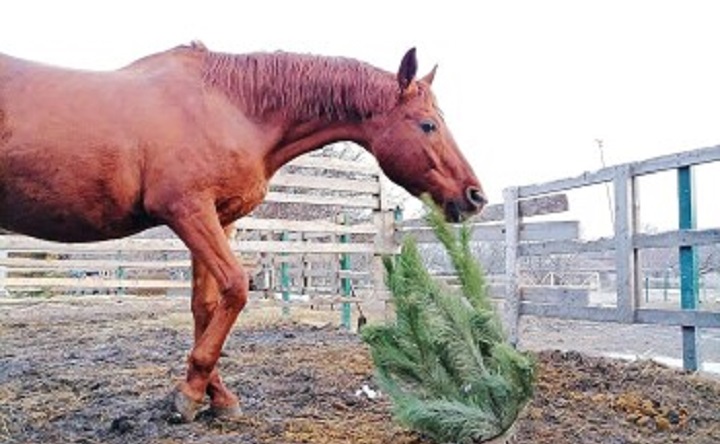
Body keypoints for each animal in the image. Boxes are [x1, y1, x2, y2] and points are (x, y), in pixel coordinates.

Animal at [0, 43, 486, 422]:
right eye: (428, 124)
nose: (474, 196)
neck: (228, 107)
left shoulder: (218, 219)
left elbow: (206, 306)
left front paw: (214, 394)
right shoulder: (187, 211)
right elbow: (236, 287)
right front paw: (190, 393)